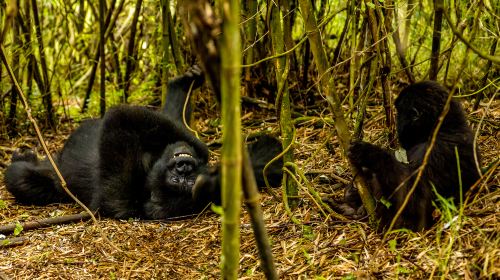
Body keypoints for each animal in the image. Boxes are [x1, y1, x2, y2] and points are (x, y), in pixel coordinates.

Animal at [3, 67, 284, 219]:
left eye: (184, 181)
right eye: (179, 176)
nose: (184, 167)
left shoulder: (121, 195)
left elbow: (120, 116)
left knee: (20, 178)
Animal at [348, 80, 480, 231]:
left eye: (399, 112)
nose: (397, 123)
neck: (444, 128)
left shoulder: (434, 152)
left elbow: (413, 204)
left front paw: (369, 154)